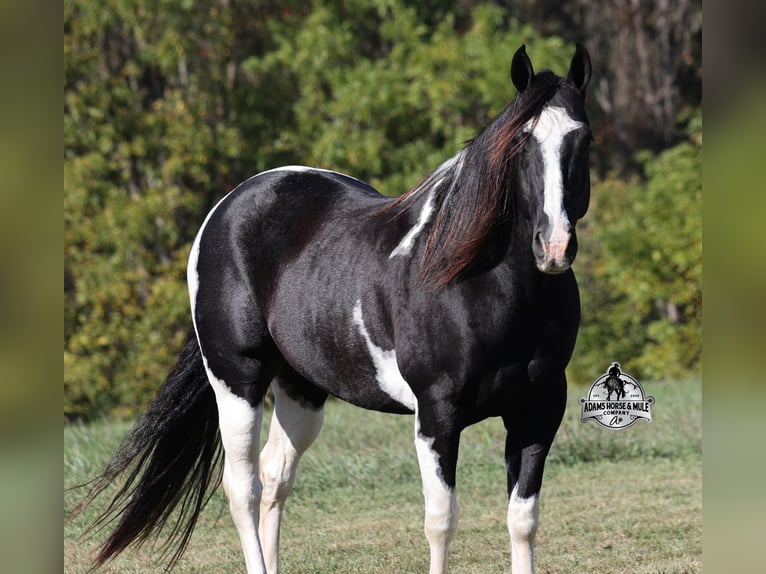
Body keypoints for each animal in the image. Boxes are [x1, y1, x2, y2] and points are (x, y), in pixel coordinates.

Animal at [73, 43, 593, 574]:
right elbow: (442, 522)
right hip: (237, 381)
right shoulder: (437, 416)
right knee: (243, 488)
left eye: (584, 140)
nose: (553, 247)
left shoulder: (538, 410)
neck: (479, 283)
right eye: (521, 143)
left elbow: (522, 520)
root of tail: (227, 207)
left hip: (301, 388)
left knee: (275, 476)